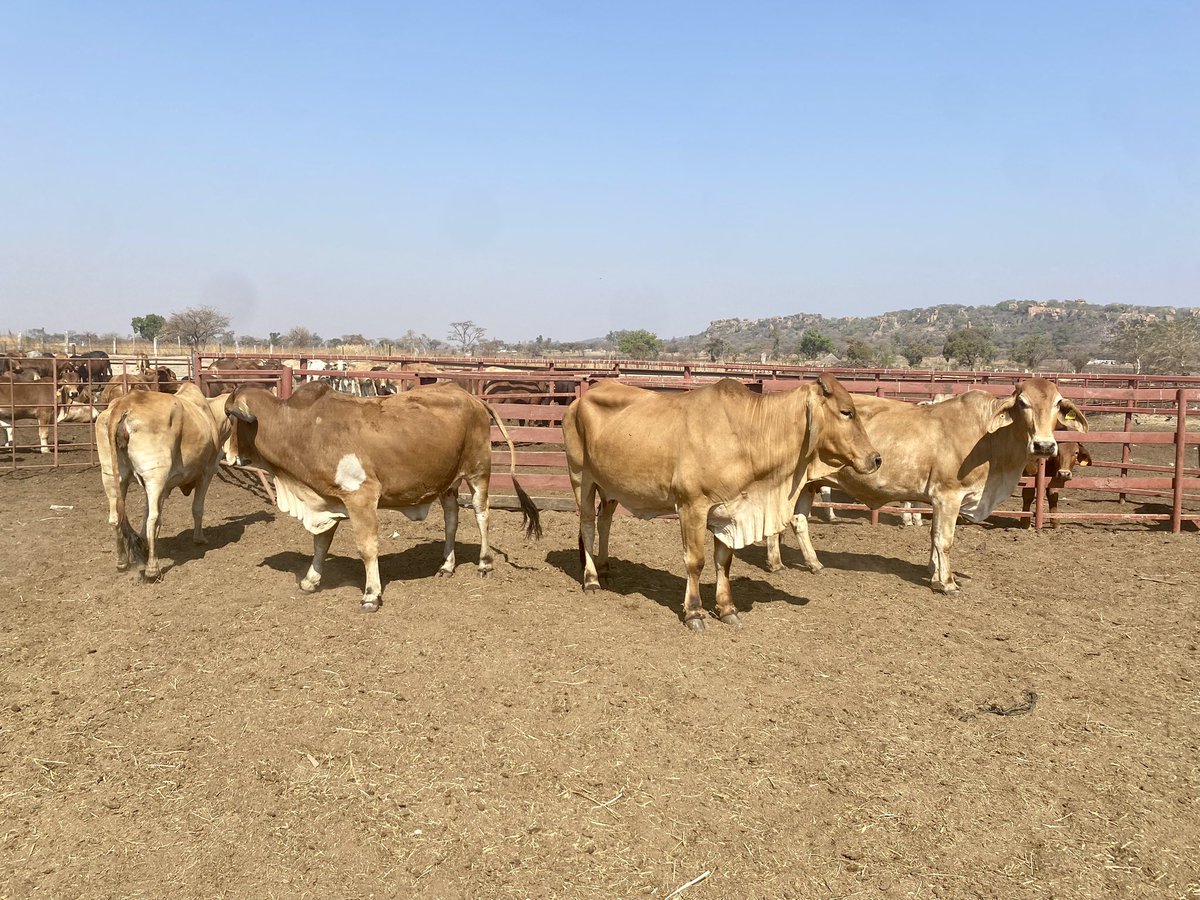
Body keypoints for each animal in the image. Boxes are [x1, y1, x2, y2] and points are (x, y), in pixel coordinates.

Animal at [101, 382, 234, 579]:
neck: (210, 415)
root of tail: (125, 403)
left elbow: (145, 512)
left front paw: (144, 544)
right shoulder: (207, 471)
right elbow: (197, 508)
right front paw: (199, 538)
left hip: (111, 476)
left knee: (116, 517)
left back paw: (122, 561)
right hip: (155, 476)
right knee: (153, 519)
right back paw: (152, 569)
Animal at [223, 380, 542, 612]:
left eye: (228, 415)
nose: (226, 452)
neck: (301, 429)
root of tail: (472, 397)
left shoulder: (361, 498)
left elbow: (367, 548)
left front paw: (371, 595)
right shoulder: (327, 500)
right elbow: (320, 544)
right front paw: (310, 580)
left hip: (478, 471)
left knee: (481, 514)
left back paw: (485, 563)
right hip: (448, 482)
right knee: (452, 519)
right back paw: (446, 565)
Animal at [561, 375, 881, 631]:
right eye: (846, 412)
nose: (876, 458)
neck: (748, 434)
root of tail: (582, 398)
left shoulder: (729, 511)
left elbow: (723, 561)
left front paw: (727, 609)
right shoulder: (692, 506)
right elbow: (696, 561)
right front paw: (694, 612)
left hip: (609, 486)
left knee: (605, 521)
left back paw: (604, 566)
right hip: (581, 476)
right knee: (587, 525)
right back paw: (591, 579)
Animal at [765, 378, 1087, 593]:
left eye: (1058, 403)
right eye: (1023, 403)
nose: (1044, 445)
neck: (989, 438)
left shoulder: (938, 499)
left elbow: (933, 537)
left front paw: (934, 573)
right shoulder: (948, 495)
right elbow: (944, 539)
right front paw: (947, 582)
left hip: (808, 483)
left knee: (797, 520)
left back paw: (809, 563)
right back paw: (776, 562)